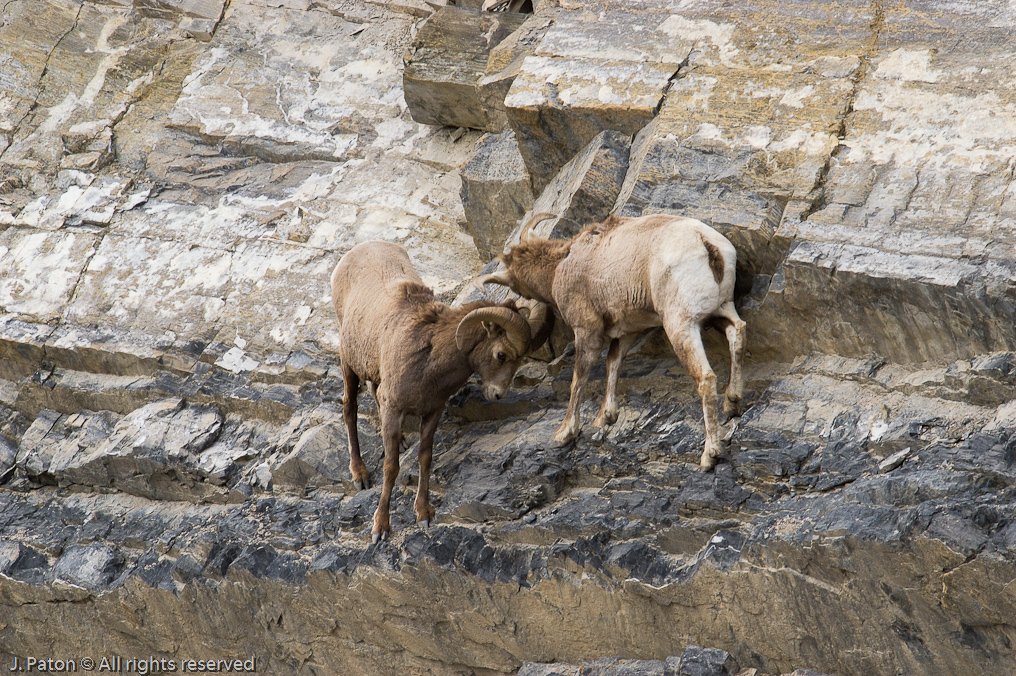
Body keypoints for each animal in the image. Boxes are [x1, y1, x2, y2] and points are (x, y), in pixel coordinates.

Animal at [331, 239, 552, 540]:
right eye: (501, 355)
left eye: (519, 360)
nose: (497, 394)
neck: (429, 358)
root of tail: (357, 251)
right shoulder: (395, 408)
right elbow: (391, 467)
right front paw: (380, 528)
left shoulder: (432, 411)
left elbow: (425, 459)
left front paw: (424, 514)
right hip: (348, 364)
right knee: (349, 409)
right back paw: (360, 475)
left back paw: (401, 440)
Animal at [471, 212, 743, 469]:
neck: (561, 266)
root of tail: (707, 243)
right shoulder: (628, 330)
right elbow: (614, 363)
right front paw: (605, 417)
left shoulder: (586, 330)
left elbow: (579, 378)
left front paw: (564, 433)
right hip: (722, 308)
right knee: (737, 331)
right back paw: (732, 402)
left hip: (681, 325)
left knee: (706, 377)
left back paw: (709, 455)